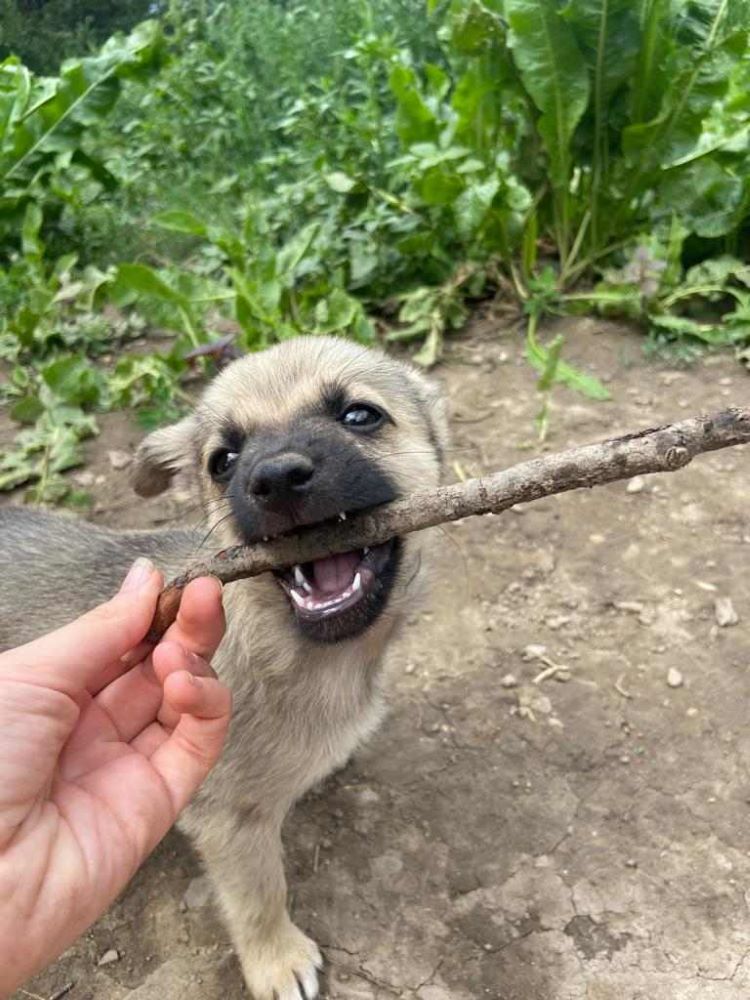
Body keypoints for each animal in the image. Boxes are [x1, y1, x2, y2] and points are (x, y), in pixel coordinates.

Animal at [0, 338, 446, 1000]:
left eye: (360, 415)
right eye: (223, 460)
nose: (276, 478)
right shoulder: (231, 821)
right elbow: (260, 894)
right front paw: (276, 960)